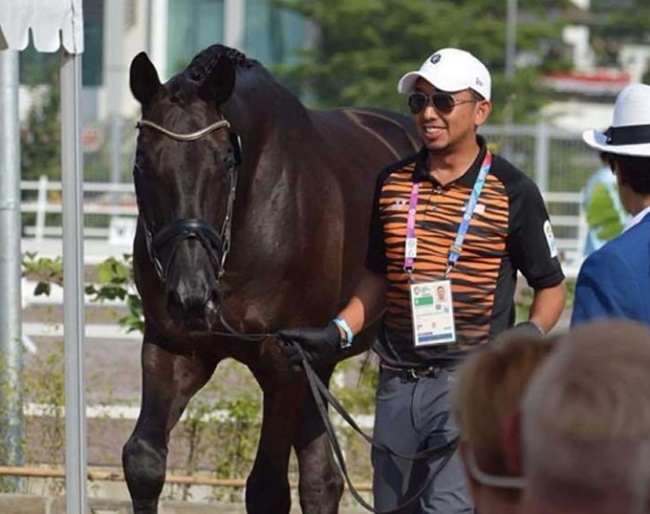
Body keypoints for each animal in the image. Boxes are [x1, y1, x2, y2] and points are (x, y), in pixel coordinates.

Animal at [123, 45, 416, 512]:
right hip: (320, 360)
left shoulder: (282, 360)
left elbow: (266, 487)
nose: (191, 296)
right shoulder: (174, 346)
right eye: (142, 162)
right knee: (321, 480)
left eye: (226, 161)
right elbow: (144, 463)